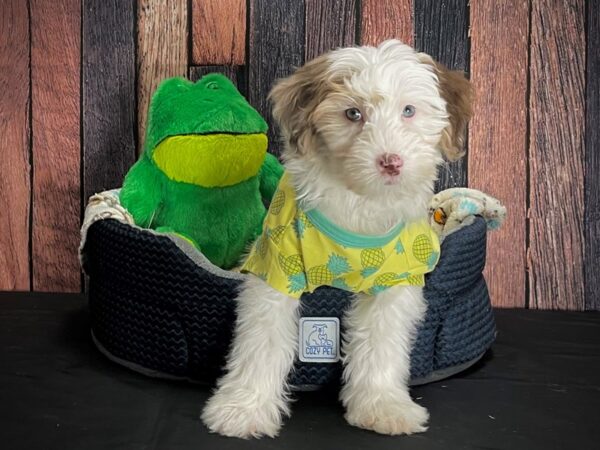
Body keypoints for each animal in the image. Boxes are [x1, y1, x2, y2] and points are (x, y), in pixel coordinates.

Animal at [202, 39, 474, 440]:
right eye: (352, 113)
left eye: (409, 111)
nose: (390, 161)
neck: (359, 205)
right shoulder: (276, 266)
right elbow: (262, 339)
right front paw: (243, 408)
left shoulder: (395, 278)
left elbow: (381, 342)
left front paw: (383, 406)